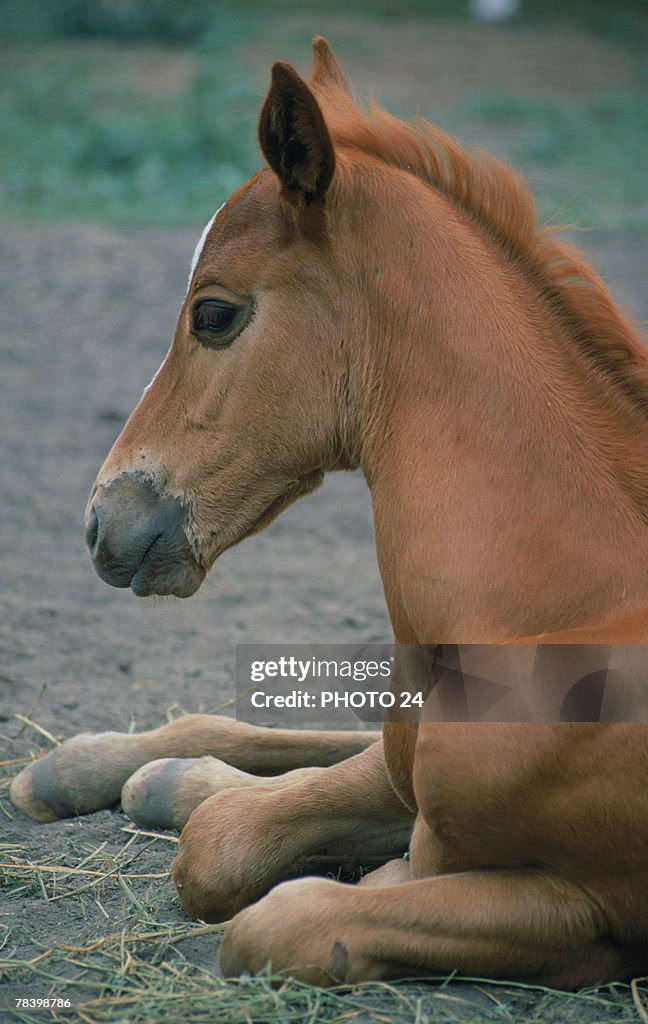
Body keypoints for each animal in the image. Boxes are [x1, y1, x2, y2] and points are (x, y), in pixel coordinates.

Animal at [10, 37, 646, 983]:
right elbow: (230, 836)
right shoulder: (410, 772)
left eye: (213, 313)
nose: (102, 521)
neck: (563, 611)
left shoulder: (602, 908)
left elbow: (281, 912)